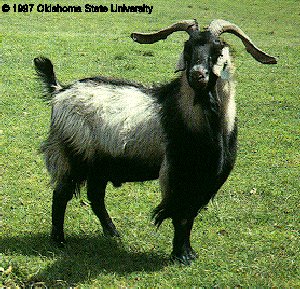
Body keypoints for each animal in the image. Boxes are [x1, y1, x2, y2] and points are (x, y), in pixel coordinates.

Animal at [33, 19, 276, 264]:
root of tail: (60, 90)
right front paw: (181, 255)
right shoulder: (177, 172)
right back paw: (59, 240)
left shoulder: (202, 180)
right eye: (187, 48)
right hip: (71, 153)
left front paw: (189, 252)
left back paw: (112, 232)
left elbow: (191, 215)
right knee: (61, 194)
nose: (197, 75)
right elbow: (181, 216)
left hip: (99, 164)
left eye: (217, 47)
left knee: (96, 197)